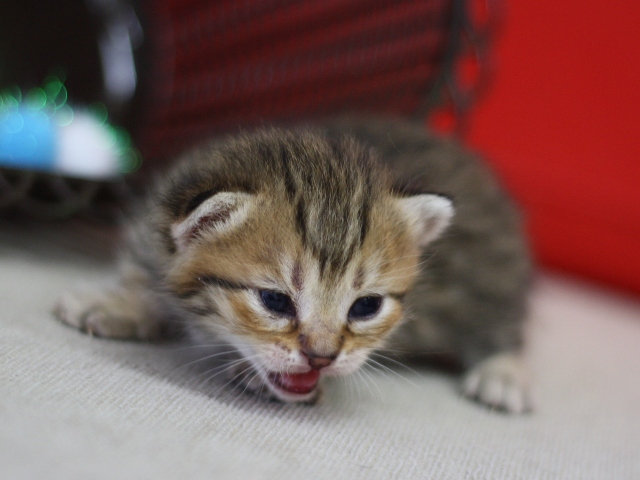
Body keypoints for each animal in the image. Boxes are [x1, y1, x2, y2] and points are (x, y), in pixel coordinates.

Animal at [53, 117, 528, 412]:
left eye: (366, 307)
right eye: (274, 301)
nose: (321, 358)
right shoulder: (155, 223)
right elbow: (142, 275)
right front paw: (119, 304)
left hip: (492, 277)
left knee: (504, 322)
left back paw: (504, 373)